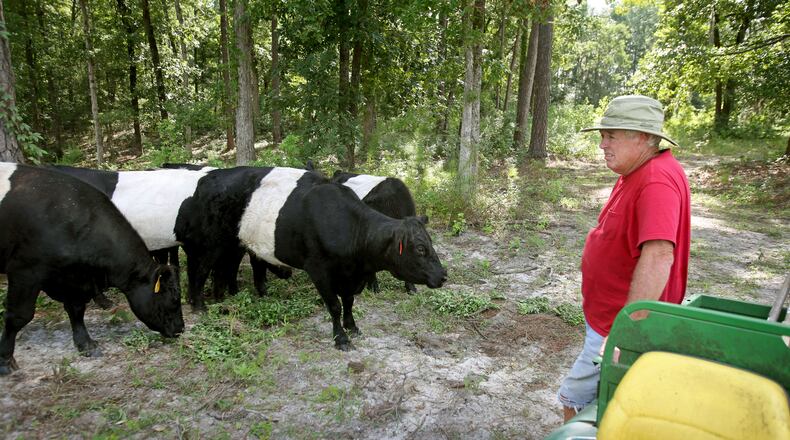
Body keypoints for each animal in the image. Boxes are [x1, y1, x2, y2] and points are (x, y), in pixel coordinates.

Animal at [0, 163, 184, 374]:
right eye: (173, 299)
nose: (181, 328)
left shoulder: (75, 279)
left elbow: (76, 309)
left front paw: (86, 344)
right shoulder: (25, 272)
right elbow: (19, 315)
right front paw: (5, 359)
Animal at [175, 166, 447, 349]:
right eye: (420, 248)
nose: (443, 275)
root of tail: (208, 176)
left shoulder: (348, 274)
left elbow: (348, 302)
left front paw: (352, 327)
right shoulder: (319, 269)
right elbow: (334, 305)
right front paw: (341, 338)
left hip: (236, 243)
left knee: (235, 266)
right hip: (212, 243)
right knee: (200, 269)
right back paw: (199, 305)